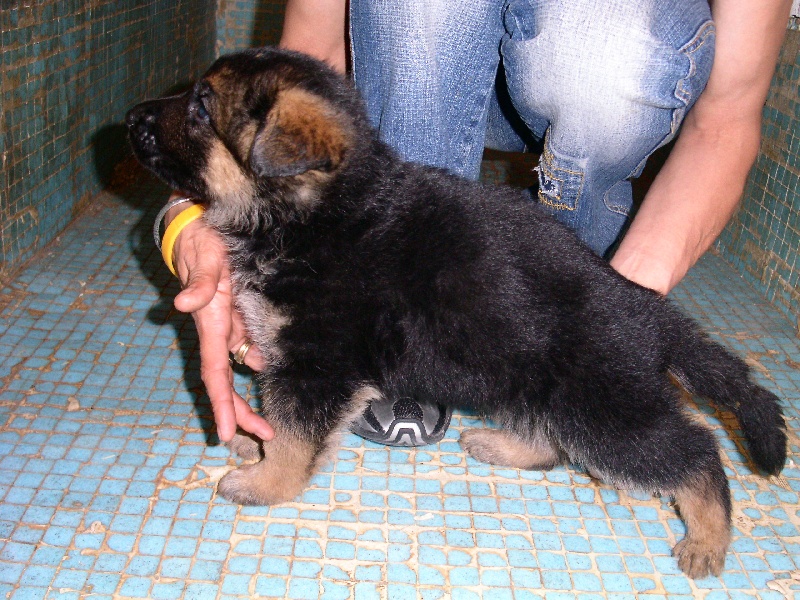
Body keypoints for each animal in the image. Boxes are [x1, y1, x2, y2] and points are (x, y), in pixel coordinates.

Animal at [128, 49, 784, 580]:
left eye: (201, 108)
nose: (131, 118)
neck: (316, 213)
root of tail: (646, 309)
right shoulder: (289, 353)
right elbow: (278, 418)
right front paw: (256, 444)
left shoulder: (317, 363)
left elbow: (296, 434)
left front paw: (268, 483)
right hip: (533, 384)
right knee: (554, 441)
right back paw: (507, 447)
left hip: (605, 406)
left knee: (695, 450)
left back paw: (708, 533)